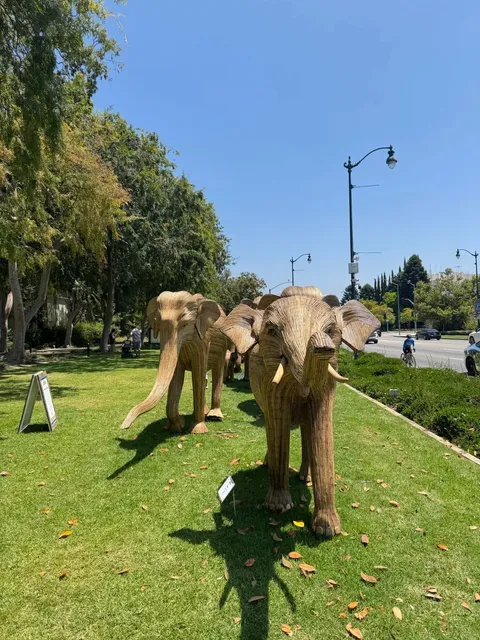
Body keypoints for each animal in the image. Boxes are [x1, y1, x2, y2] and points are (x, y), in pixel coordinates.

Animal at [120, 291, 226, 433]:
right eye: (158, 324)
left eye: (185, 325)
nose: (123, 426)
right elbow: (176, 377)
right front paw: (176, 427)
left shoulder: (203, 339)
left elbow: (198, 372)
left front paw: (198, 430)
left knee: (217, 371)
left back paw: (214, 416)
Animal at [219, 285, 380, 537]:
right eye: (272, 330)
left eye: (330, 330)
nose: (322, 345)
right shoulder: (269, 381)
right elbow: (278, 426)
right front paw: (279, 507)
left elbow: (321, 428)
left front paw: (327, 530)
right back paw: (270, 466)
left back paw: (306, 478)